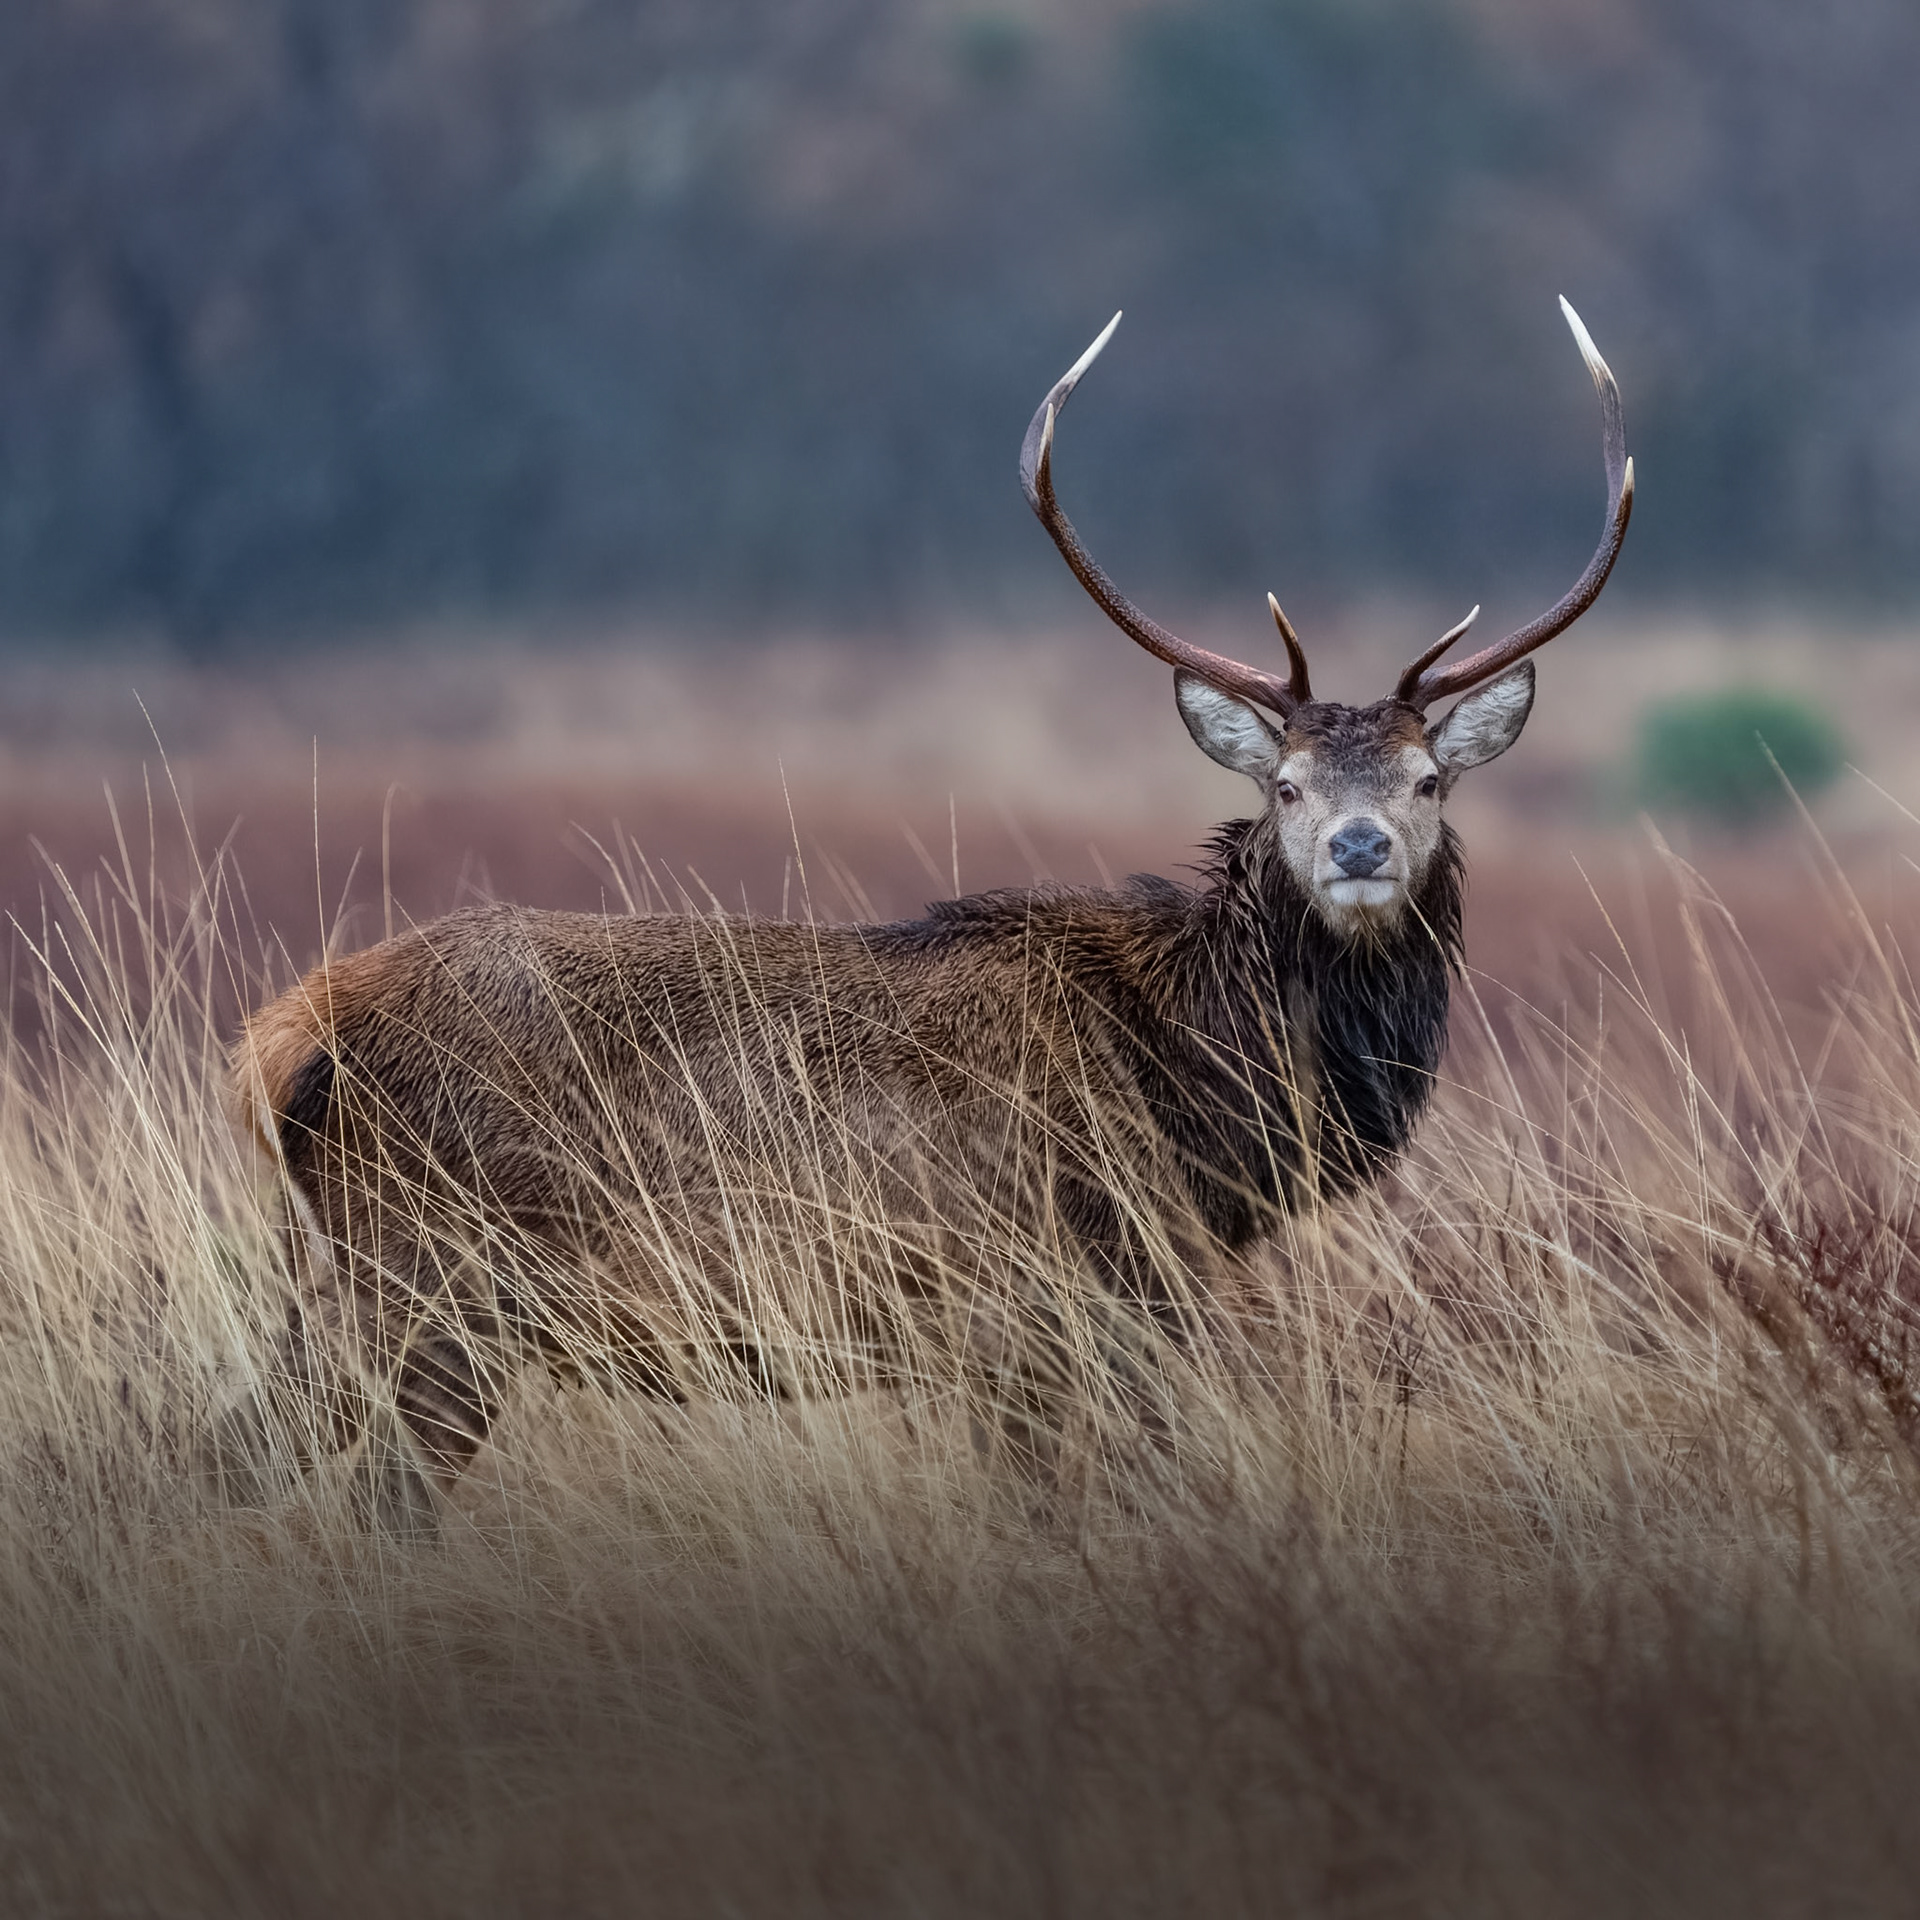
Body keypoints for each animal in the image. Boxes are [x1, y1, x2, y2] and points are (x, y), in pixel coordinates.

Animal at [222, 299, 1631, 1524]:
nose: (1357, 844)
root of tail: (281, 1046)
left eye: (1429, 778)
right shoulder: (1044, 1300)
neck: (1201, 1097)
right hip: (438, 1285)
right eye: (1283, 784)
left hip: (354, 1291)